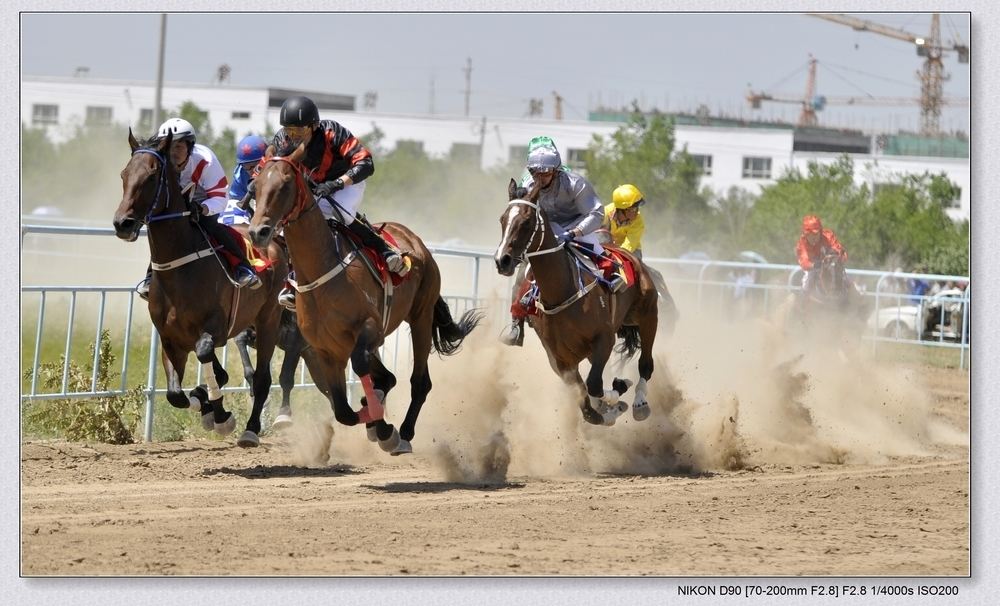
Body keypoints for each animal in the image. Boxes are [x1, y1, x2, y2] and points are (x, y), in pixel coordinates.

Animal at [116, 131, 292, 448]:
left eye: (151, 176)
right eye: (124, 174)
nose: (122, 223)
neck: (178, 271)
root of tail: (275, 241)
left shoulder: (216, 328)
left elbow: (205, 352)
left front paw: (220, 414)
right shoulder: (170, 339)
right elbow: (176, 395)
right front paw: (205, 403)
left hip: (269, 319)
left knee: (262, 379)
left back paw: (250, 429)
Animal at [245, 142, 480, 456]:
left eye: (284, 185)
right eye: (255, 185)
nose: (258, 232)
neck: (322, 267)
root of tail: (412, 237)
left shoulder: (368, 329)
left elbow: (359, 368)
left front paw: (384, 427)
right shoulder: (325, 349)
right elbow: (343, 410)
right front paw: (377, 424)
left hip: (421, 316)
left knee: (419, 382)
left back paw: (404, 433)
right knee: (387, 378)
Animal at [494, 179, 664, 428]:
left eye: (526, 222)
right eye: (502, 219)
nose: (502, 260)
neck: (562, 292)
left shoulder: (604, 338)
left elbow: (593, 385)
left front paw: (620, 390)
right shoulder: (559, 359)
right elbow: (587, 403)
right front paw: (610, 406)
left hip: (648, 316)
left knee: (646, 364)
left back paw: (640, 403)